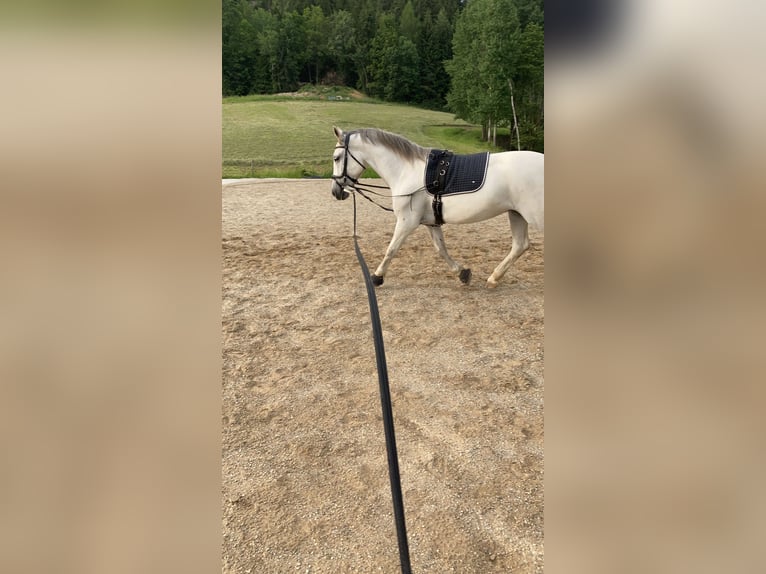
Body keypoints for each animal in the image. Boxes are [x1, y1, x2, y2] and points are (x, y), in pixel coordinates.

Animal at [332, 126, 544, 288]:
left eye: (336, 157)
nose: (336, 191)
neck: (407, 171)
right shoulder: (431, 223)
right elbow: (441, 249)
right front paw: (462, 273)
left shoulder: (406, 222)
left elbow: (391, 249)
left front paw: (377, 277)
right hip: (516, 214)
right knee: (520, 245)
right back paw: (494, 278)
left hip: (533, 216)